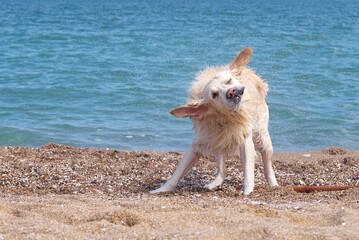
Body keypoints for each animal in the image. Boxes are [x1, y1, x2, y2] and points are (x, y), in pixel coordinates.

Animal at [150, 47, 280, 195]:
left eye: (229, 81)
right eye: (214, 95)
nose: (231, 92)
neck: (226, 118)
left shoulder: (245, 139)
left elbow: (248, 170)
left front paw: (247, 191)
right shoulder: (198, 144)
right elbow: (177, 173)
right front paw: (161, 189)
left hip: (261, 136)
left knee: (267, 163)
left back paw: (273, 183)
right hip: (217, 142)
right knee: (223, 169)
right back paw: (214, 183)